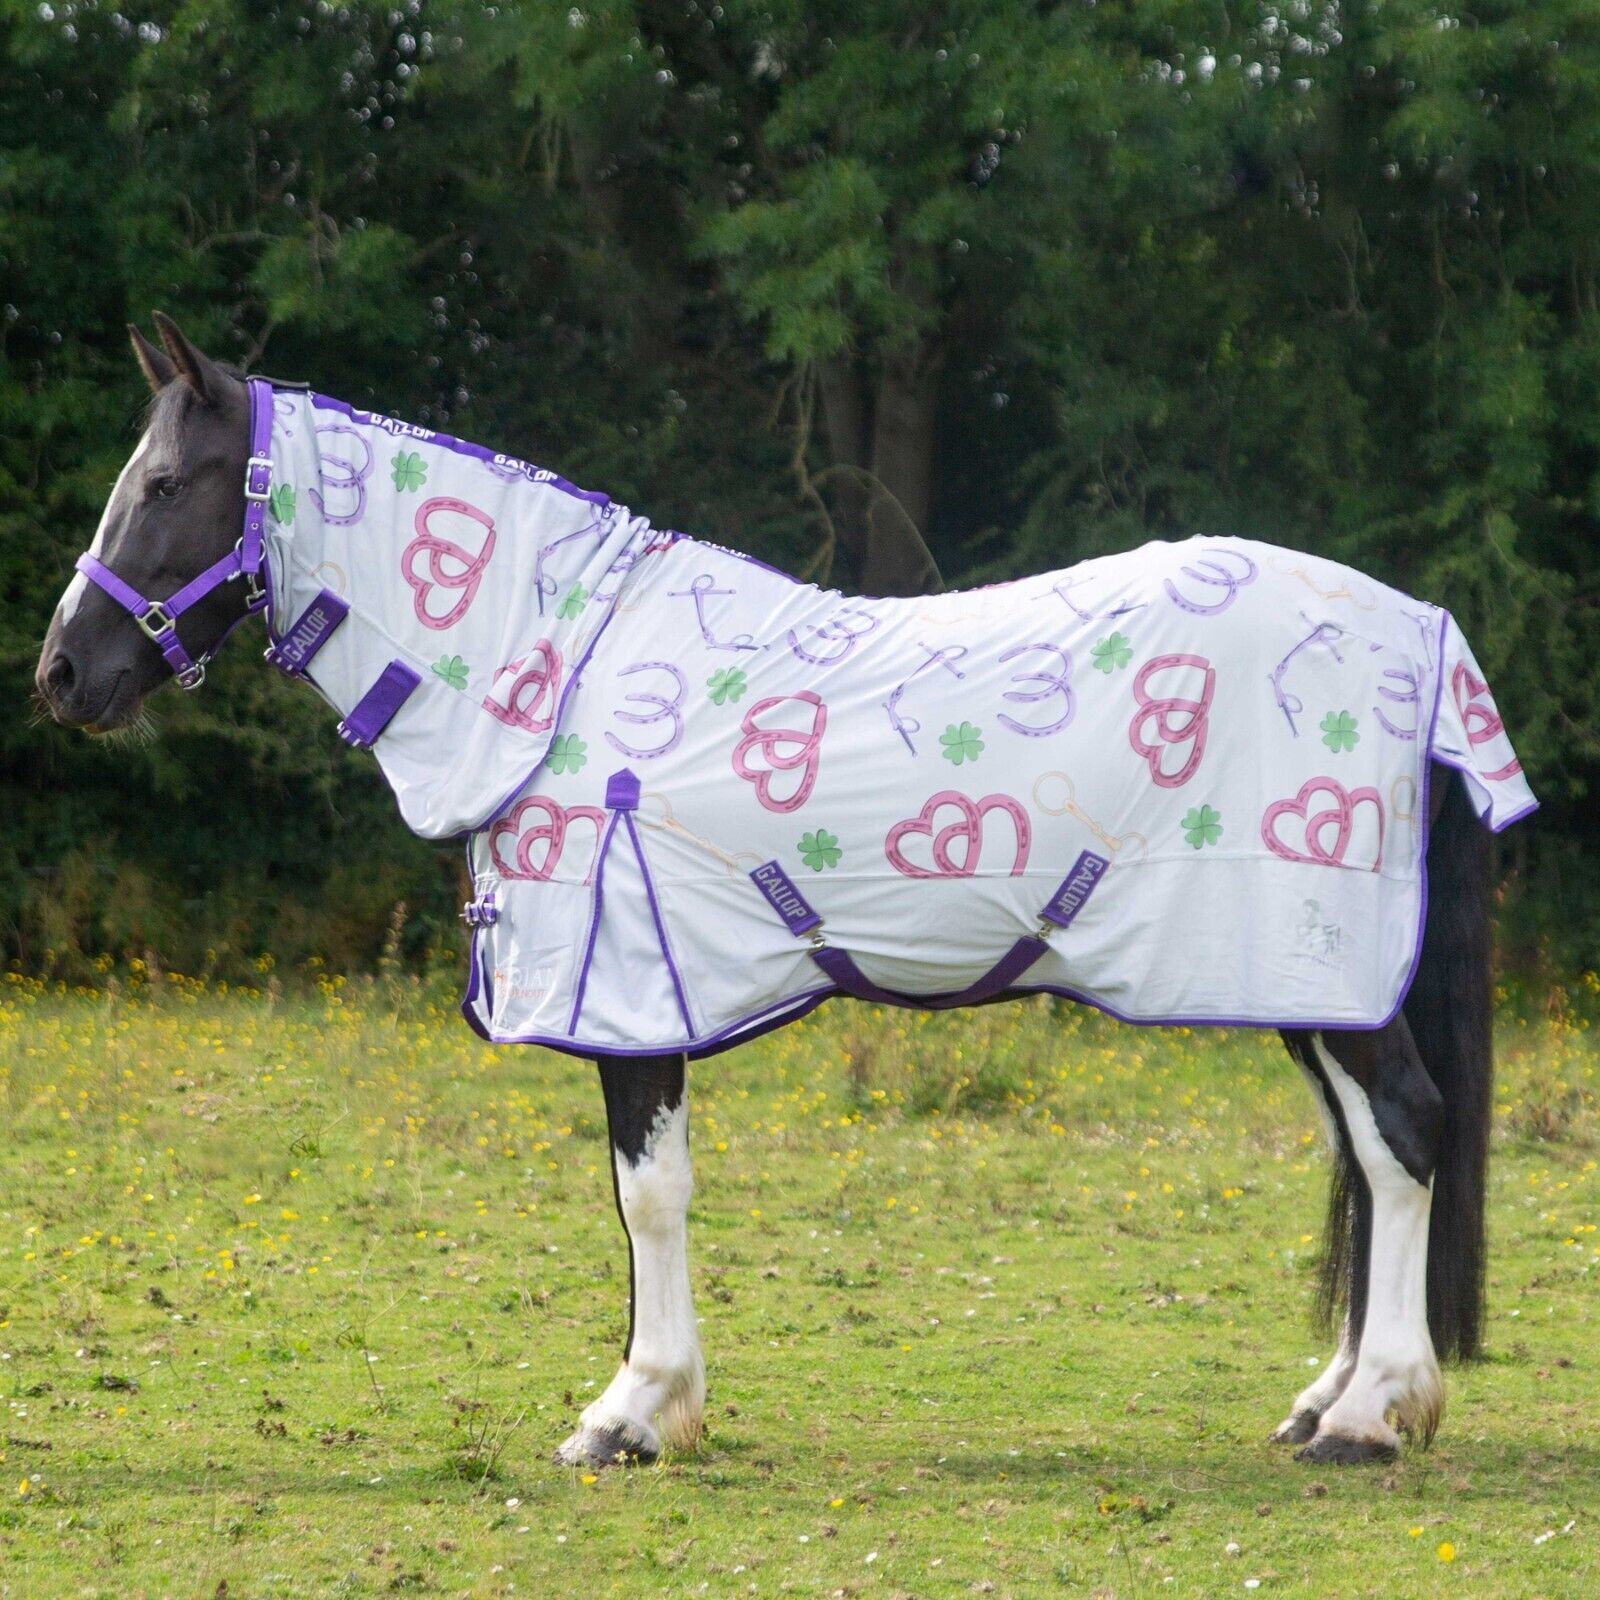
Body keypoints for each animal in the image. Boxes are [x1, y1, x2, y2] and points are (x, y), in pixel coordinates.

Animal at [34, 315, 1536, 1470]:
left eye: (163, 484)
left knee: (1402, 1137)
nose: (62, 674)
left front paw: (633, 1415)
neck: (557, 674)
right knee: (1366, 1152)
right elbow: (636, 1201)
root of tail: (1419, 631)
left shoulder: (630, 996)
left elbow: (647, 1195)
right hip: (1301, 983)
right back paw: (1331, 1399)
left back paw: (1371, 1417)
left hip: (1314, 971)